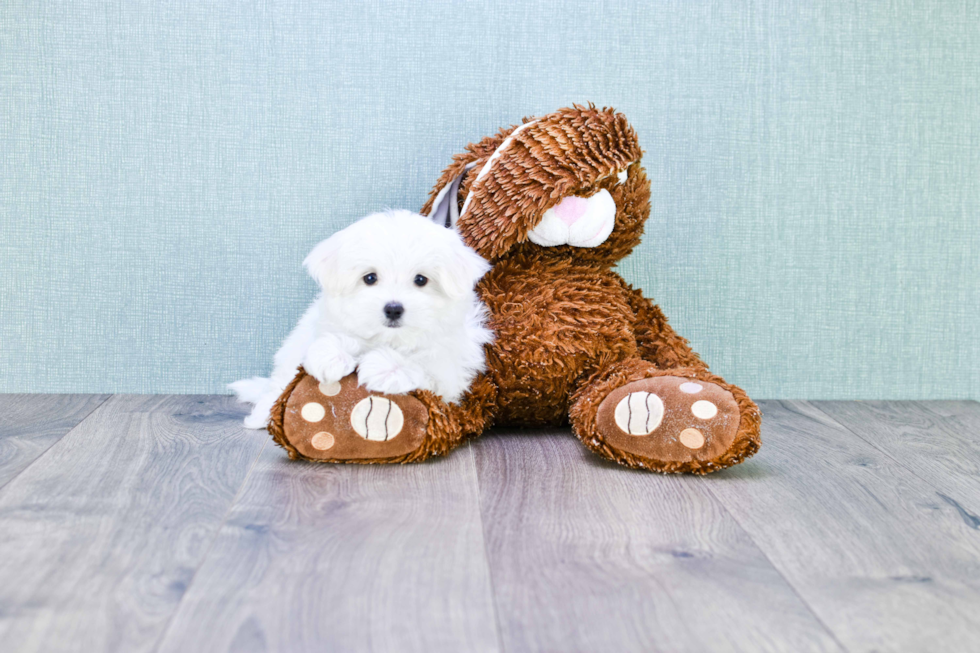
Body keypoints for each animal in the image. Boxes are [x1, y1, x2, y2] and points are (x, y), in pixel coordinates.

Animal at [229, 211, 490, 430]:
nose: (393, 309)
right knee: (278, 385)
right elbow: (333, 338)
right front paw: (331, 357)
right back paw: (262, 415)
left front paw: (386, 367)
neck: (388, 338)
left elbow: (420, 364)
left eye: (421, 280)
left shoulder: (448, 373)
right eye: (370, 278)